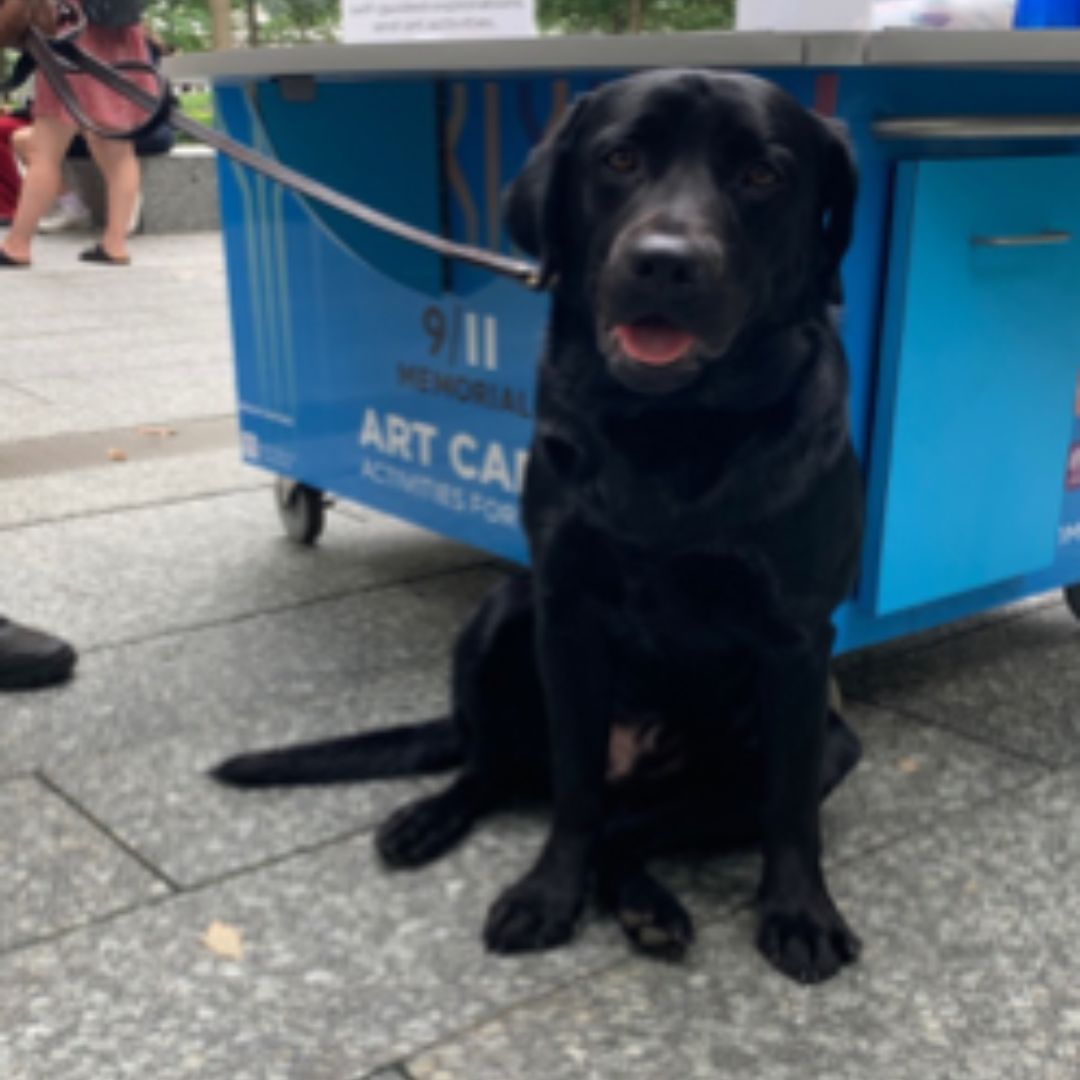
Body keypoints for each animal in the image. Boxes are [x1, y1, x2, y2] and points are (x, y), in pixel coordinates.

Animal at [214, 65, 864, 980]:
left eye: (764, 174)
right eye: (620, 158)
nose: (666, 263)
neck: (672, 429)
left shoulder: (800, 643)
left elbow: (789, 811)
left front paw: (801, 911)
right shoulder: (567, 609)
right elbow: (576, 794)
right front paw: (547, 894)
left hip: (823, 743)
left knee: (636, 830)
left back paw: (649, 906)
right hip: (501, 617)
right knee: (501, 771)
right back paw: (429, 821)